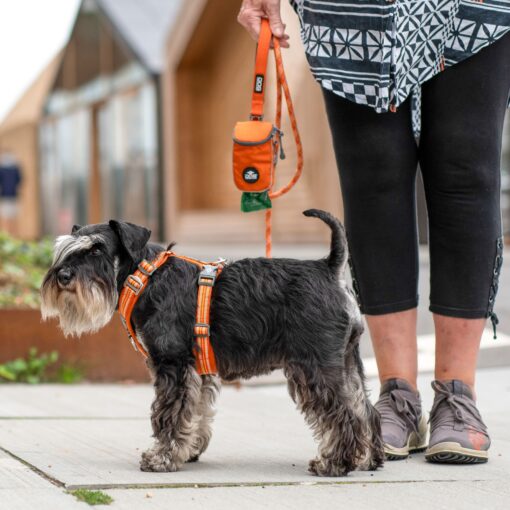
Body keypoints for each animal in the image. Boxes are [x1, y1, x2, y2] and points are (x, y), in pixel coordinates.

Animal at [39, 209, 382, 476]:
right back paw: (367, 459)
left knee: (343, 414)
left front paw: (162, 457)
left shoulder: (173, 365)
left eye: (97, 250)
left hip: (315, 367)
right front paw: (188, 450)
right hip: (347, 362)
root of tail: (329, 268)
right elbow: (197, 409)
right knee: (364, 408)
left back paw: (334, 463)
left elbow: (170, 412)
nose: (63, 276)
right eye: (65, 250)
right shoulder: (197, 371)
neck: (145, 276)